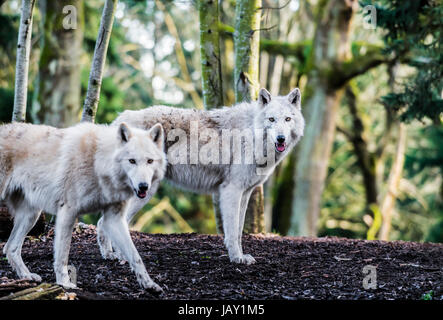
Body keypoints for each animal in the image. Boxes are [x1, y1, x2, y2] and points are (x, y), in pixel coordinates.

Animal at [0, 121, 166, 292]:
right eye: (132, 161)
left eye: (150, 161)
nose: (143, 186)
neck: (98, 162)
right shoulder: (68, 212)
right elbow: (62, 255)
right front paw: (64, 283)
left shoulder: (114, 219)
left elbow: (135, 255)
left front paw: (149, 284)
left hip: (31, 215)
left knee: (10, 248)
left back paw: (27, 276)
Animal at [98, 88, 306, 264]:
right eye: (271, 119)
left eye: (287, 119)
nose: (281, 138)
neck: (251, 133)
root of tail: (120, 119)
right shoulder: (231, 190)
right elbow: (231, 231)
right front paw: (236, 258)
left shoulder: (246, 192)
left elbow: (239, 230)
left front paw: (241, 255)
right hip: (143, 192)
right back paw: (122, 257)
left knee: (102, 223)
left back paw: (109, 255)